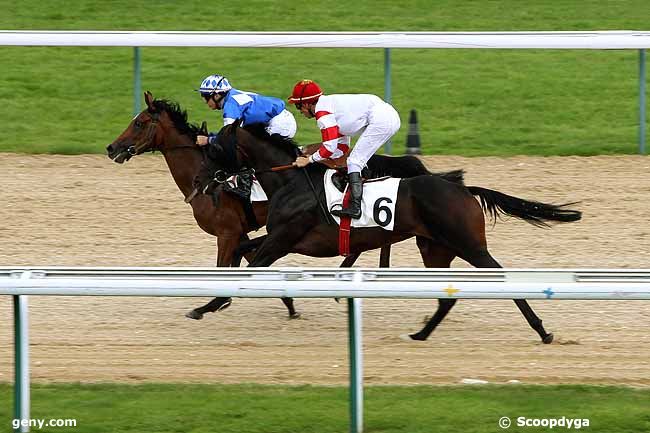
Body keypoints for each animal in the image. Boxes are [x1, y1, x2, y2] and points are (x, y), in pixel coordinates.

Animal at [199, 120, 584, 340]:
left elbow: (250, 264)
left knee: (502, 279)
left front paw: (207, 305)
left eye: (216, 146)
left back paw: (542, 331)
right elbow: (243, 251)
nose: (204, 180)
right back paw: (421, 333)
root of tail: (463, 190)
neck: (290, 180)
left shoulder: (284, 239)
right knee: (448, 296)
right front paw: (223, 299)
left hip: (469, 246)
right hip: (435, 248)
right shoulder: (283, 239)